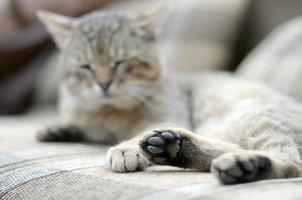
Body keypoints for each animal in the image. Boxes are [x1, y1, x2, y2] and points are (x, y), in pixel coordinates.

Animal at [37, 7, 302, 184]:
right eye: (86, 67)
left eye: (121, 62)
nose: (104, 83)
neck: (112, 114)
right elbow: (81, 125)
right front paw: (57, 129)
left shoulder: (167, 115)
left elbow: (135, 135)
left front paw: (125, 150)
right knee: (225, 149)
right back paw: (175, 147)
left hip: (251, 116)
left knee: (292, 163)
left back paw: (245, 164)